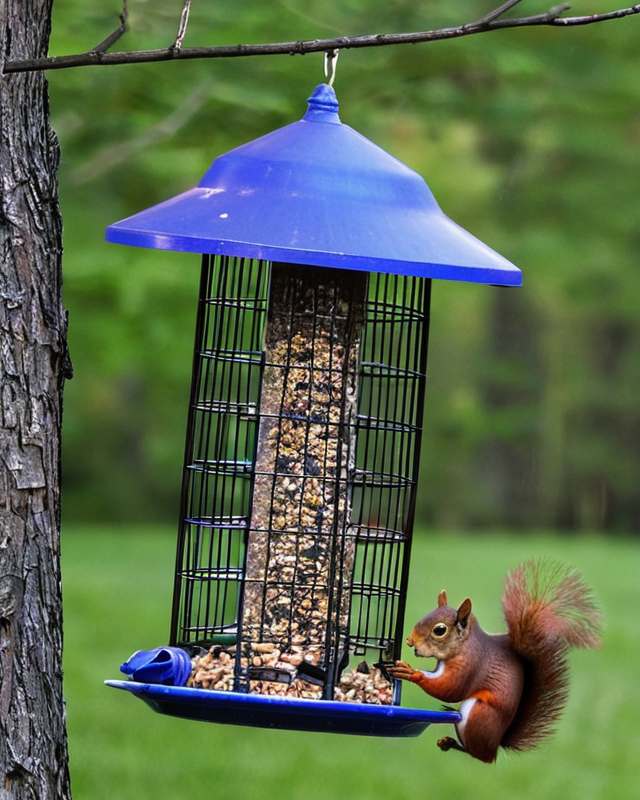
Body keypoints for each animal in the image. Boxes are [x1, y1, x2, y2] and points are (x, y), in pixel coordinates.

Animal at [387, 559, 602, 763]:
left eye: (439, 630)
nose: (409, 641)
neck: (464, 646)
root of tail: (497, 744)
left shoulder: (472, 665)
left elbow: (451, 688)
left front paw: (410, 672)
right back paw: (448, 738)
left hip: (479, 715)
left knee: (480, 756)